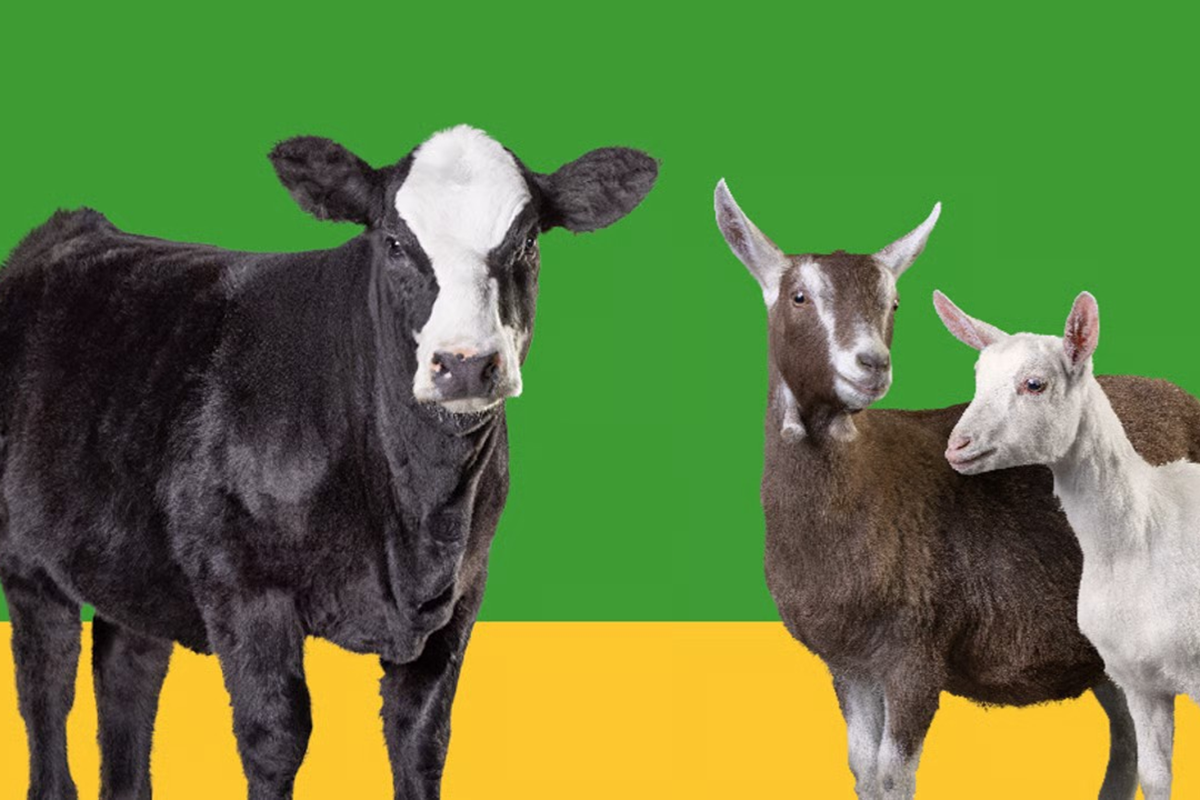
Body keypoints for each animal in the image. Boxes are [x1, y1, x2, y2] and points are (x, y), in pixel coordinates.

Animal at [0, 124, 658, 800]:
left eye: (526, 242)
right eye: (394, 242)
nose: (466, 363)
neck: (415, 522)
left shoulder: (462, 594)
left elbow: (422, 737)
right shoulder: (244, 585)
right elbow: (276, 739)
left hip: (132, 565)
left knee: (126, 674)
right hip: (27, 563)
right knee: (45, 685)